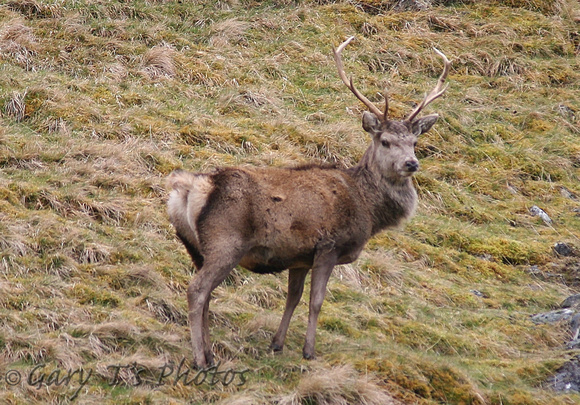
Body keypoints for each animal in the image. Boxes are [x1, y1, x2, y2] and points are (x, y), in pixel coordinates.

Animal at [165, 36, 450, 368]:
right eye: (385, 141)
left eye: (415, 143)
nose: (411, 163)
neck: (367, 208)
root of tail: (191, 188)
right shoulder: (328, 245)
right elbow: (316, 301)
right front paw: (309, 351)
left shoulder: (299, 256)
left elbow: (293, 297)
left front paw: (277, 343)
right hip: (226, 242)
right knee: (197, 290)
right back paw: (201, 358)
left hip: (197, 248)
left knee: (207, 293)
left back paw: (209, 352)